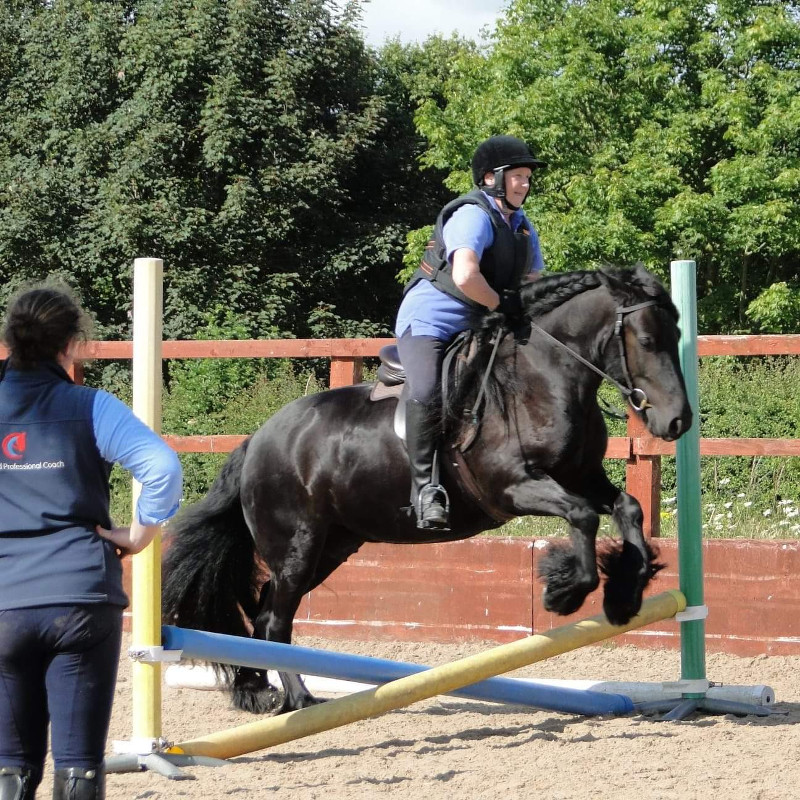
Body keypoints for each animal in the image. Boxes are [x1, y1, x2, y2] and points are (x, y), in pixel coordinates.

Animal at [161, 266, 688, 716]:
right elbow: (582, 515)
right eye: (646, 340)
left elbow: (627, 507)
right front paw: (565, 591)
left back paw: (263, 690)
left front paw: (625, 593)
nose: (677, 422)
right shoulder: (512, 487)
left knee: (266, 611)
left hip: (331, 546)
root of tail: (256, 441)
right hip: (297, 546)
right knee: (273, 618)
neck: (542, 379)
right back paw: (299, 698)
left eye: (678, 336)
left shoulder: (582, 477)